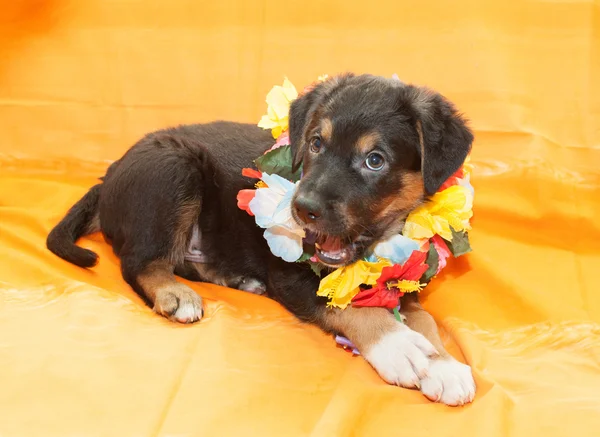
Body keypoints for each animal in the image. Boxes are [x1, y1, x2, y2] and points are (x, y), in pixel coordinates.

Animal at [47, 73, 476, 404]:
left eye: (375, 160)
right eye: (316, 143)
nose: (302, 209)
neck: (377, 242)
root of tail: (108, 175)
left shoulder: (405, 282)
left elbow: (423, 319)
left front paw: (444, 365)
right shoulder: (292, 276)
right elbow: (353, 309)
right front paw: (399, 347)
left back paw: (238, 280)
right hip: (173, 167)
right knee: (139, 263)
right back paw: (175, 294)